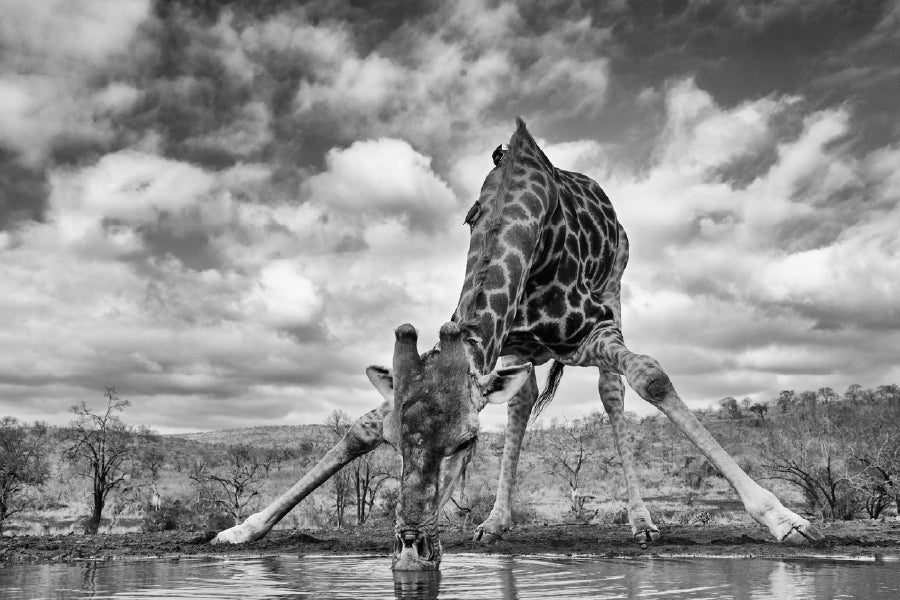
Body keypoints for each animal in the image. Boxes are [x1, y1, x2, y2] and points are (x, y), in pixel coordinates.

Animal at [216, 118, 824, 572]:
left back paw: (642, 521)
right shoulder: (487, 344)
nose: (411, 550)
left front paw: (784, 519)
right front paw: (242, 529)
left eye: (465, 442)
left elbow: (650, 376)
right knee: (523, 399)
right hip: (520, 351)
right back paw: (494, 522)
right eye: (394, 442)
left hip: (616, 285)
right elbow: (362, 424)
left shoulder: (591, 327)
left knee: (611, 391)